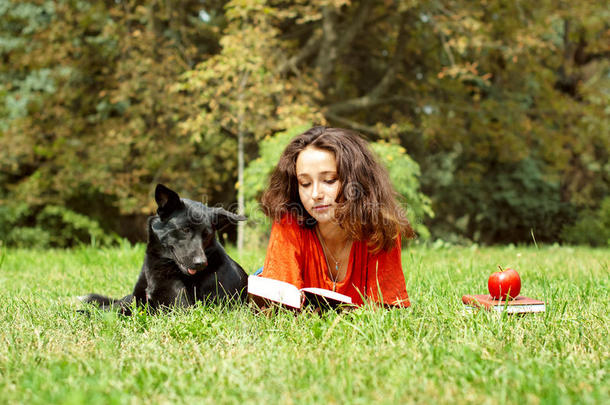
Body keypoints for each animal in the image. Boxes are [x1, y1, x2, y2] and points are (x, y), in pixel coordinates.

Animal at [82, 183, 248, 312]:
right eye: (185, 230)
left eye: (206, 235)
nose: (201, 263)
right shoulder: (138, 299)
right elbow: (117, 308)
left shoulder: (177, 309)